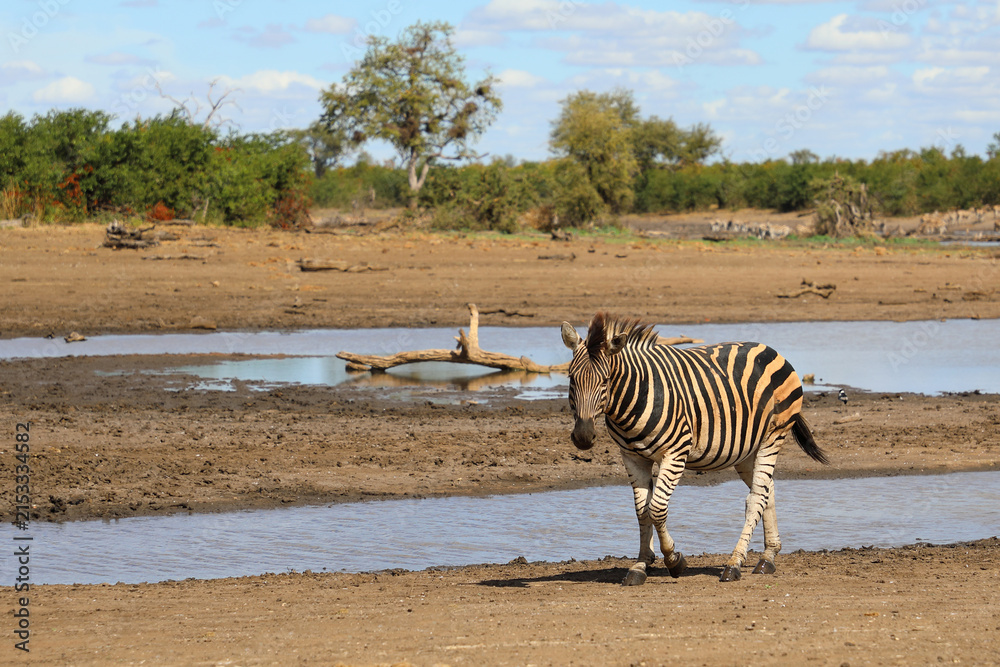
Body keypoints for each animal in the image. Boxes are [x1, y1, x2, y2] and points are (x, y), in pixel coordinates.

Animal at [560, 312, 828, 586]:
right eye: (571, 378)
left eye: (605, 381)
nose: (583, 437)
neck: (634, 397)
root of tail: (770, 349)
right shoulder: (632, 457)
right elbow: (642, 511)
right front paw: (640, 565)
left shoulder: (676, 453)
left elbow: (656, 509)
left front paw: (674, 560)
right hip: (746, 449)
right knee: (766, 491)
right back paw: (768, 557)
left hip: (772, 436)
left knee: (755, 498)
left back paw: (734, 564)